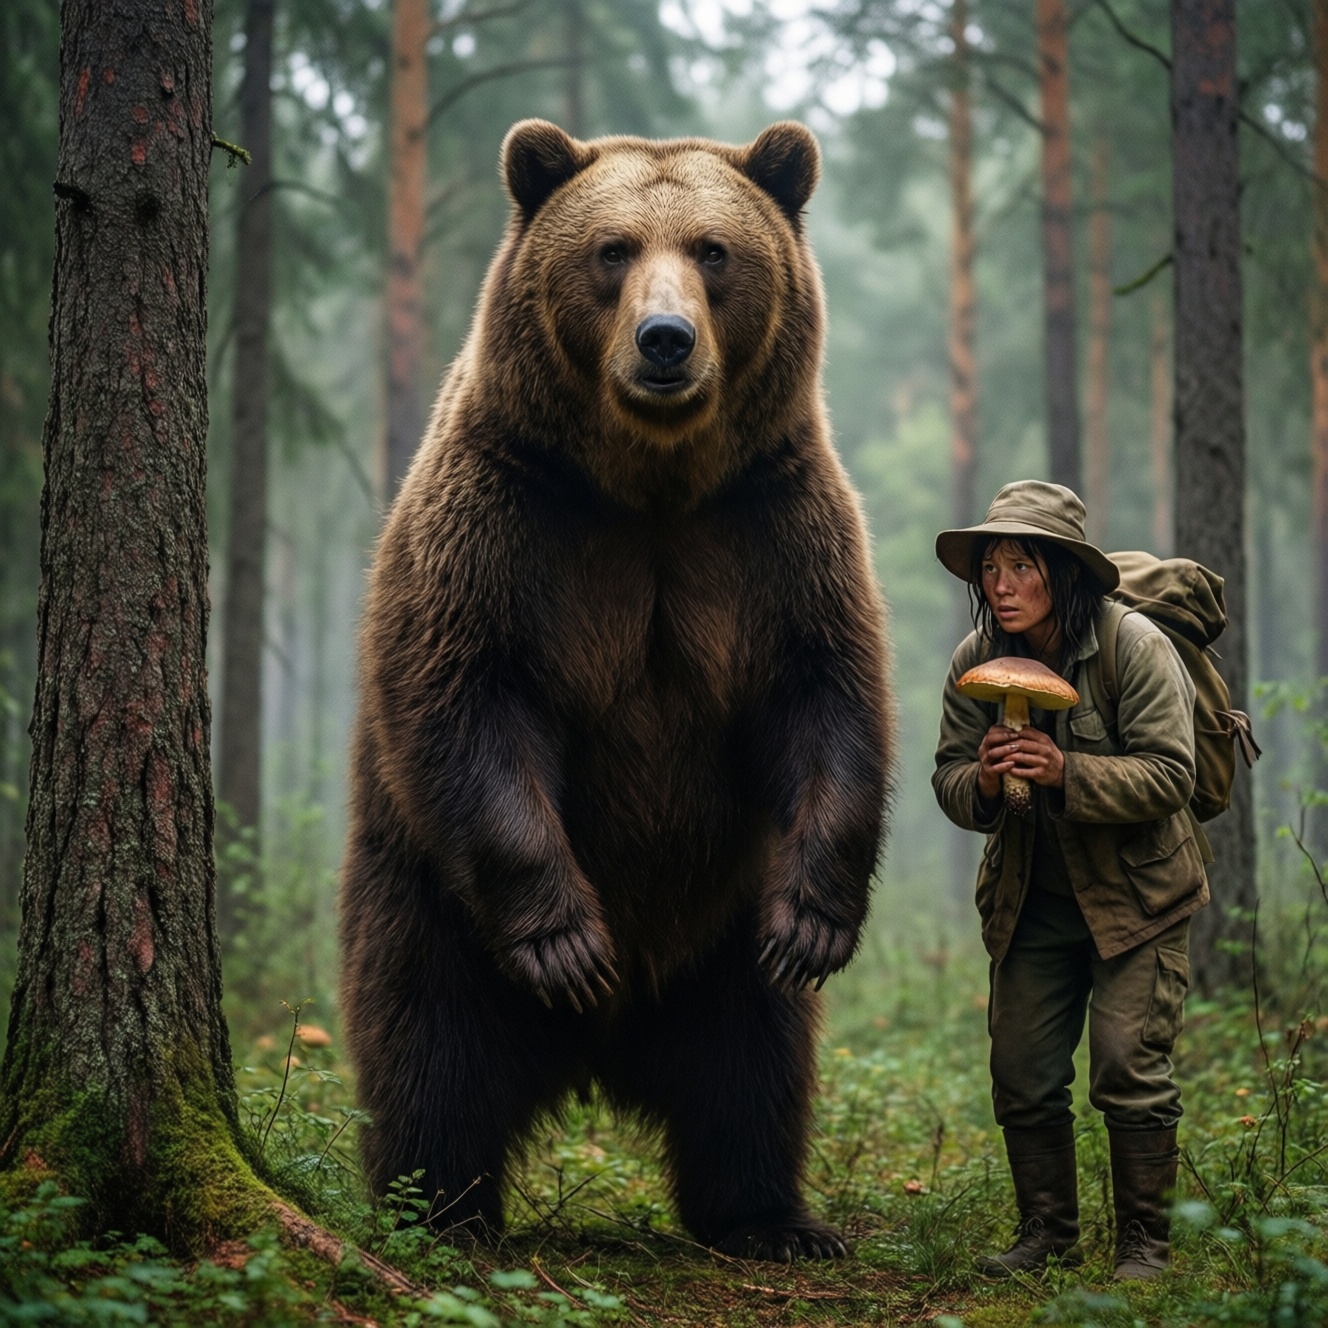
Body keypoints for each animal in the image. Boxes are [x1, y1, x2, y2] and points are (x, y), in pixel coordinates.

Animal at [339, 118, 894, 1262]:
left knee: (753, 1065)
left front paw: (816, 921)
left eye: (713, 250)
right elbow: (468, 696)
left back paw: (773, 1215)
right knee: (427, 1050)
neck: (649, 484)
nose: (665, 340)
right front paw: (565, 944)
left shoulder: (770, 526)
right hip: (429, 901)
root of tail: (600, 1056)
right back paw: (440, 1214)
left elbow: (826, 691)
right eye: (612, 248)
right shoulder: (506, 519)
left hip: (720, 929)